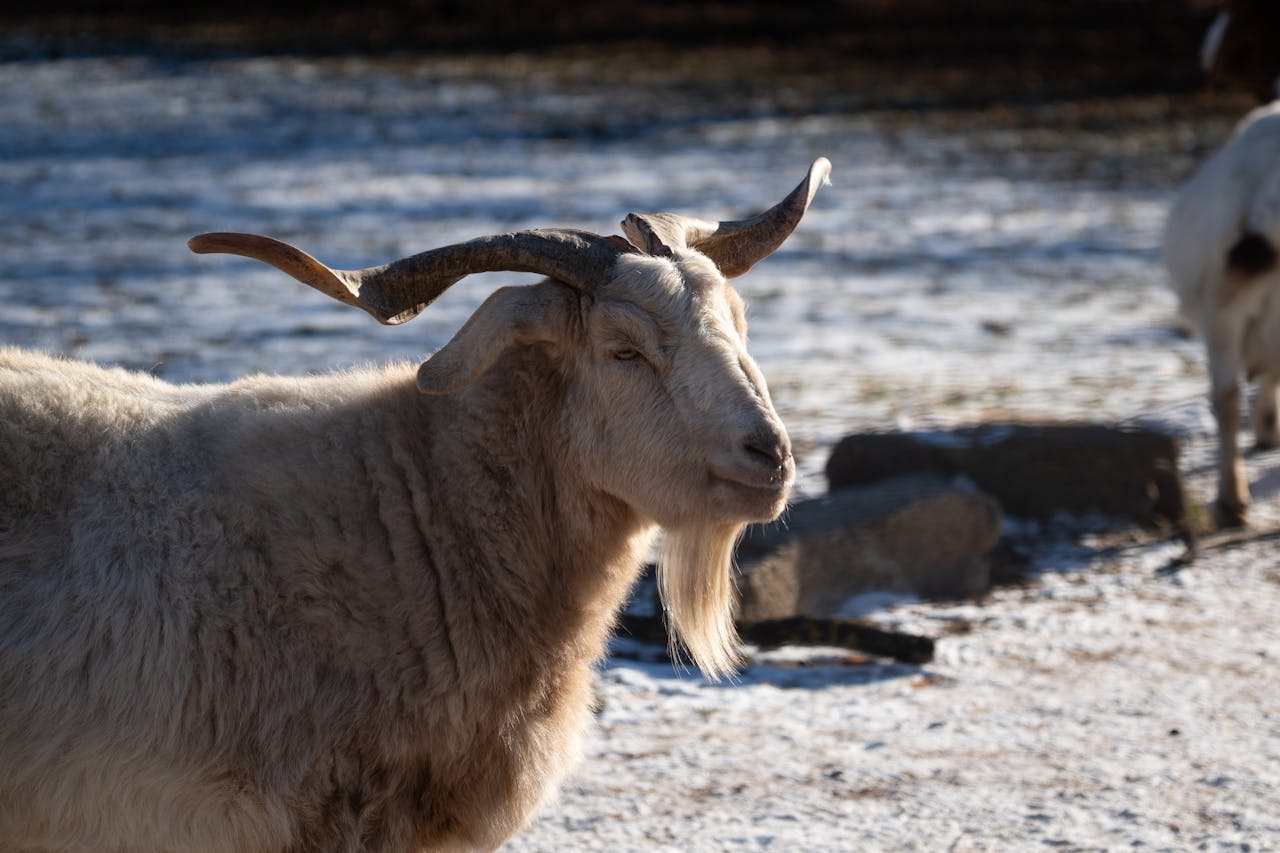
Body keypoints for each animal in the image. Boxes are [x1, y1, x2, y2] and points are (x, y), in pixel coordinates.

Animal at [1164, 103, 1280, 525]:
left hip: (1221, 308)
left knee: (1225, 397)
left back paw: (1232, 500)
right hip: (1224, 306)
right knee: (1227, 398)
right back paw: (1231, 500)